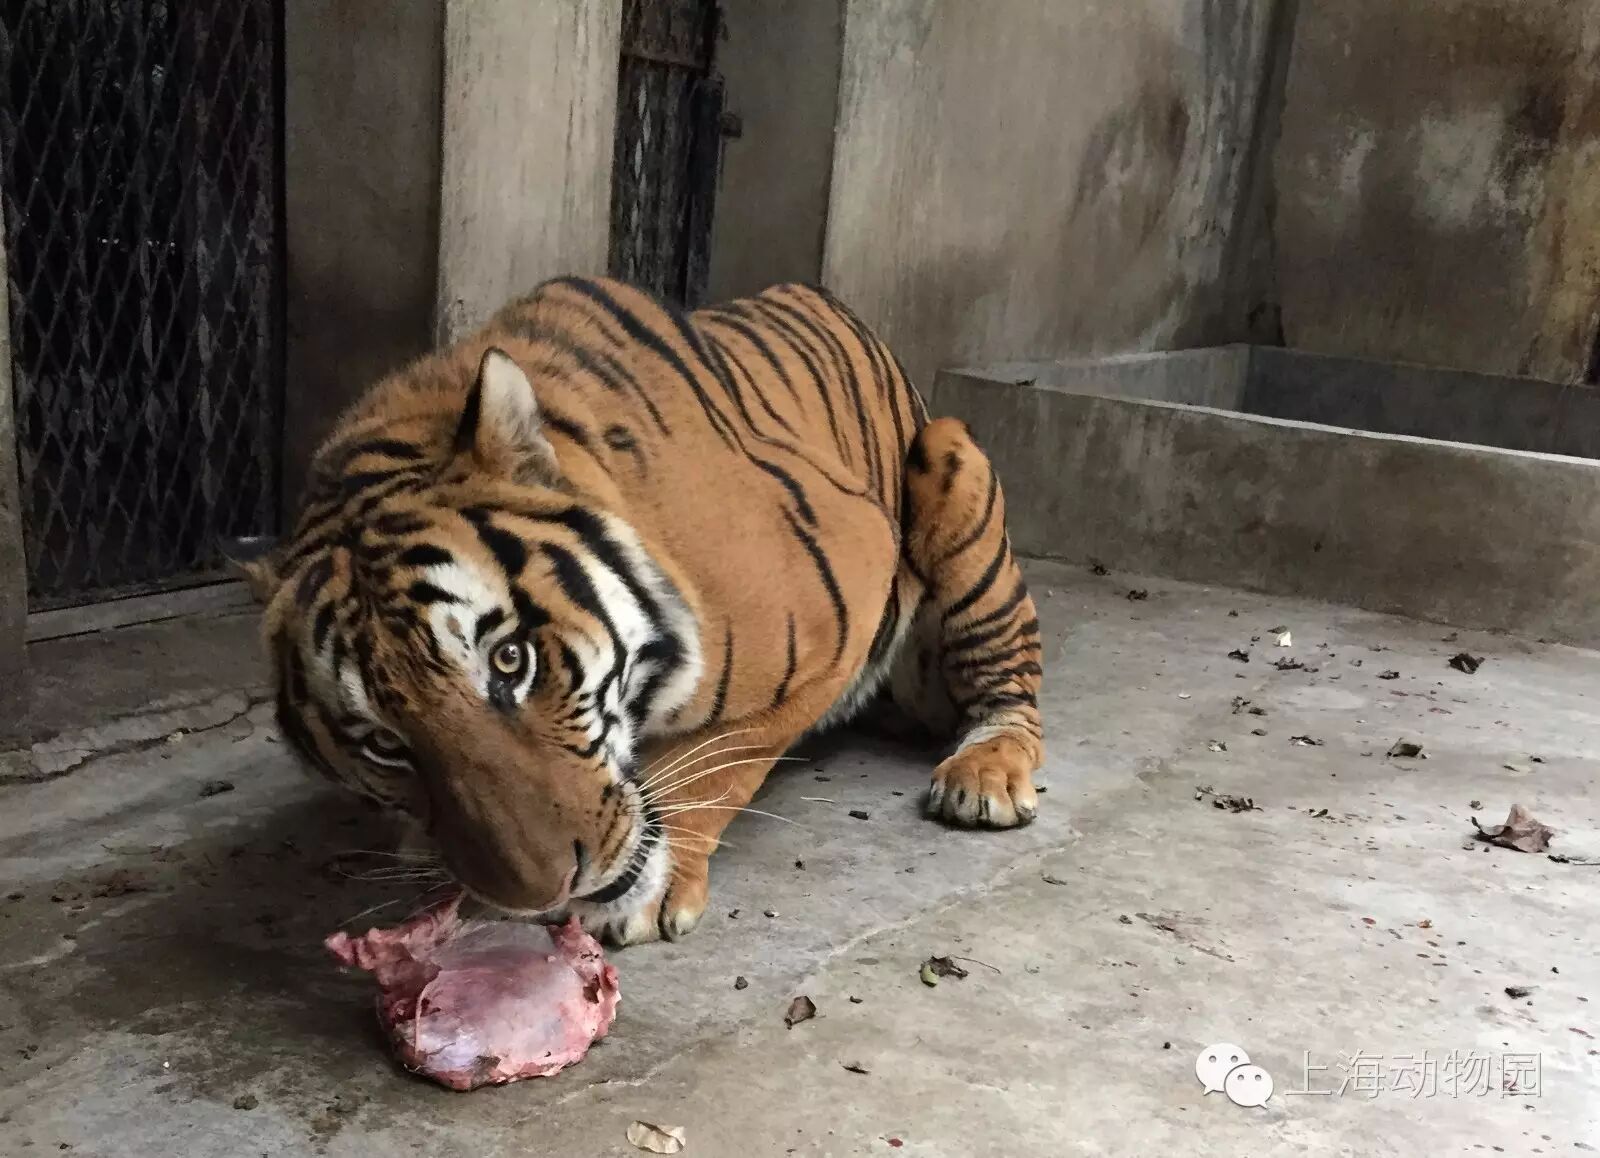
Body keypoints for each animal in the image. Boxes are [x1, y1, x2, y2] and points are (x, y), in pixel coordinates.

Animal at [237, 276, 1045, 946]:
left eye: (510, 660)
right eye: (383, 741)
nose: (541, 892)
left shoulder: (852, 575)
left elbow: (721, 760)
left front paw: (651, 889)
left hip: (951, 462)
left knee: (1013, 688)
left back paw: (985, 774)